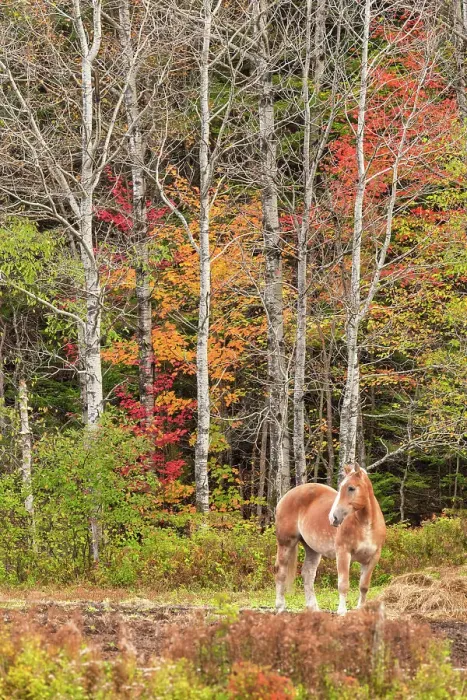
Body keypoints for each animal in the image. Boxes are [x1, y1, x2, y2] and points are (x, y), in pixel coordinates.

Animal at [274, 463, 386, 615]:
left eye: (351, 488)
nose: (333, 518)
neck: (366, 525)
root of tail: (285, 497)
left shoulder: (373, 557)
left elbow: (364, 586)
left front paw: (361, 610)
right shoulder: (343, 553)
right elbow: (343, 585)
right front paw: (342, 611)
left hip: (312, 549)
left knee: (308, 574)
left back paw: (314, 608)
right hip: (286, 543)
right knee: (281, 572)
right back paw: (280, 607)